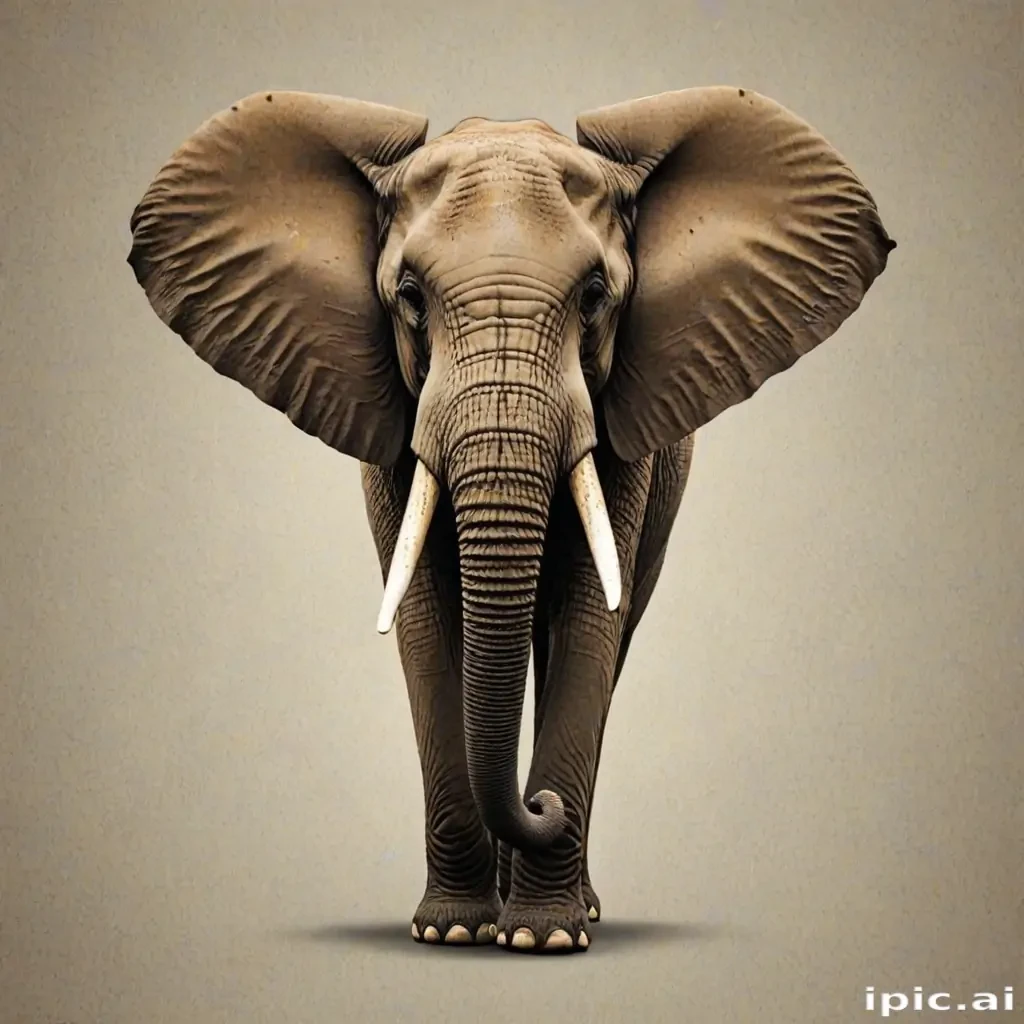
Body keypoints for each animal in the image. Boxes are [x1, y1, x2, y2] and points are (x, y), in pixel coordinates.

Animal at [127, 85, 895, 955]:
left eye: (595, 297)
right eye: (410, 298)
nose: (540, 807)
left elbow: (587, 616)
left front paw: (546, 938)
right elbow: (428, 621)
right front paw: (453, 930)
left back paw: (574, 905)